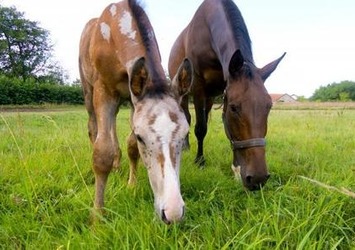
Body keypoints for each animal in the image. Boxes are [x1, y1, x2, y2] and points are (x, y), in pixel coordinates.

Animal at [79, 0, 193, 223]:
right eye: (142, 137)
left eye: (185, 134)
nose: (173, 213)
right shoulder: (104, 90)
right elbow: (102, 153)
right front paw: (97, 216)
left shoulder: (134, 100)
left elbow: (131, 147)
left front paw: (131, 185)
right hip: (88, 92)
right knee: (93, 127)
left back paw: (117, 163)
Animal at [169, 0, 286, 189]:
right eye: (234, 108)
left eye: (269, 106)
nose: (258, 178)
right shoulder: (198, 87)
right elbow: (200, 128)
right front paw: (200, 161)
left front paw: (235, 167)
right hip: (184, 93)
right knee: (186, 117)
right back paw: (185, 146)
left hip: (209, 97)